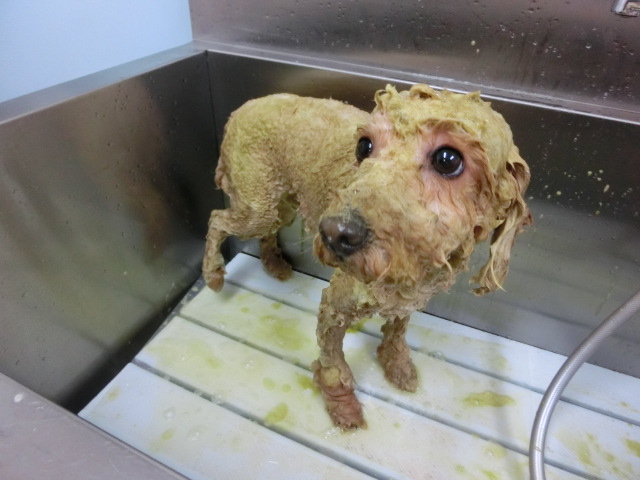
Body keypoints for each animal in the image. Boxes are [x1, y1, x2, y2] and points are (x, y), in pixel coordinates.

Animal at [203, 84, 531, 429]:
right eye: (363, 146)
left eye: (447, 159)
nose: (336, 233)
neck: (412, 271)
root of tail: (242, 109)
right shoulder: (335, 306)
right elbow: (333, 366)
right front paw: (343, 406)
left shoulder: (409, 298)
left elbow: (398, 329)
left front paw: (396, 364)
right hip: (258, 205)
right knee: (217, 219)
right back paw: (213, 274)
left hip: (280, 203)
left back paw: (273, 263)